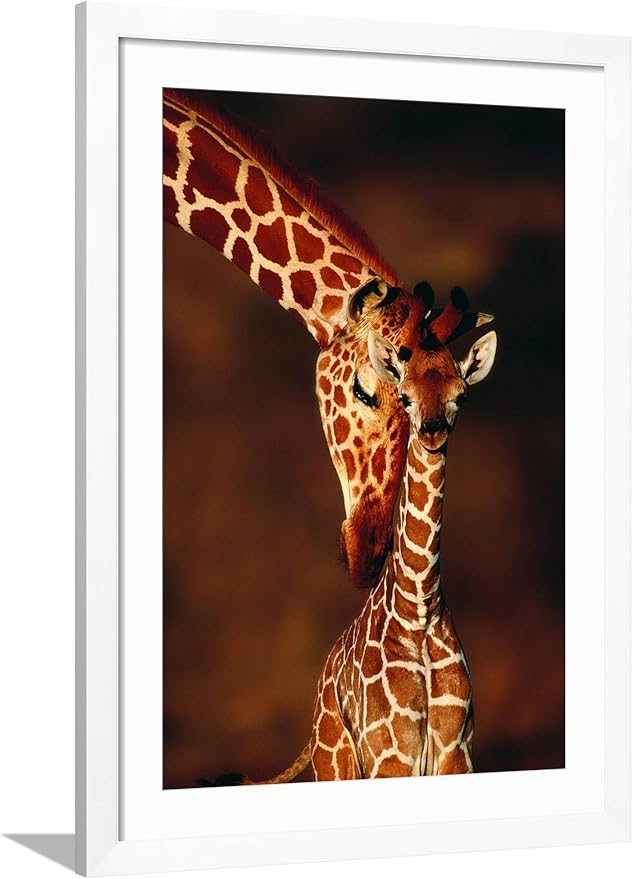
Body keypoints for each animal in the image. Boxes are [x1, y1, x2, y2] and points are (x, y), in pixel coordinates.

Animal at [202, 286, 496, 785]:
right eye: (406, 397)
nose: (432, 432)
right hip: (336, 761)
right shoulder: (390, 757)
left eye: (461, 396)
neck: (419, 608)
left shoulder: (457, 753)